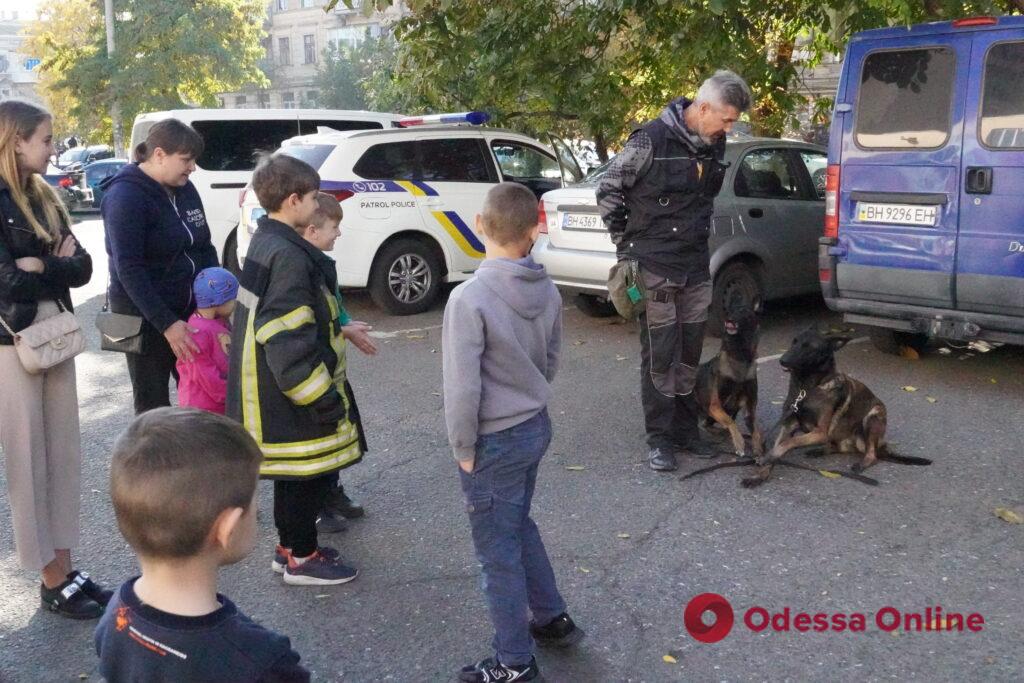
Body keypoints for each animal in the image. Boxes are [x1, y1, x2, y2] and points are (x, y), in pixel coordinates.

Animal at [741, 327, 933, 489]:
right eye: (793, 342)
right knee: (838, 446)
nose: (783, 360)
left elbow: (789, 443)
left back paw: (861, 464)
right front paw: (760, 474)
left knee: (872, 455)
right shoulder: (788, 425)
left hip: (872, 417)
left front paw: (769, 456)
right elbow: (781, 445)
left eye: (809, 347)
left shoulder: (820, 431)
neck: (807, 388)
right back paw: (819, 450)